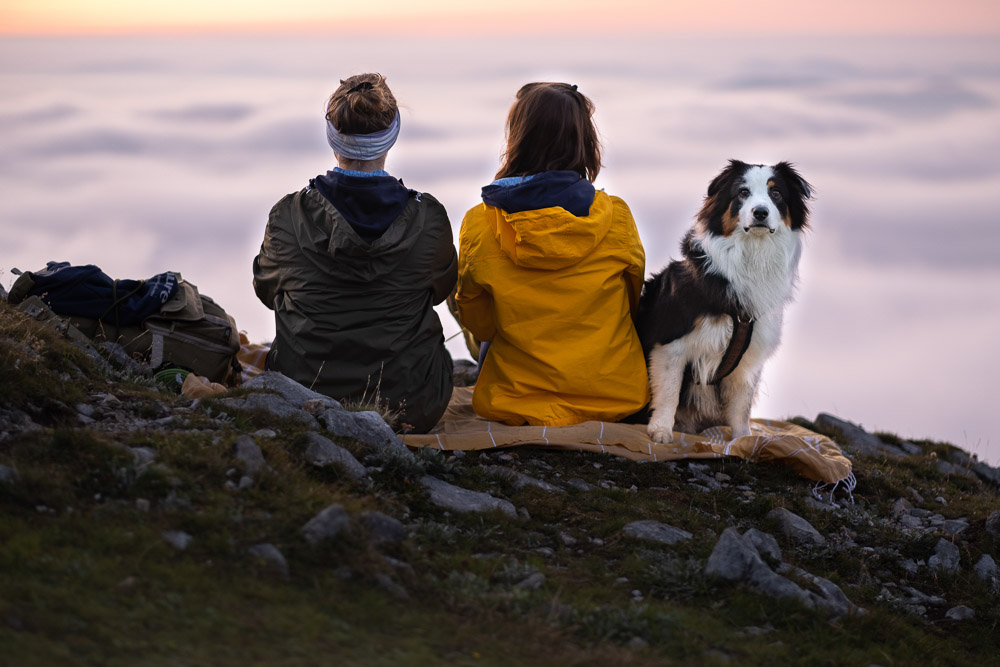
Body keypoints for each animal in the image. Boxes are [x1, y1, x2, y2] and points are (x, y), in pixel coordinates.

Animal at [636, 161, 816, 444]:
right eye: (742, 192)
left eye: (776, 193)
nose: (760, 212)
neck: (752, 253)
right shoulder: (671, 342)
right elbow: (669, 391)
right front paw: (661, 430)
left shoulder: (749, 358)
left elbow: (741, 406)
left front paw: (743, 440)